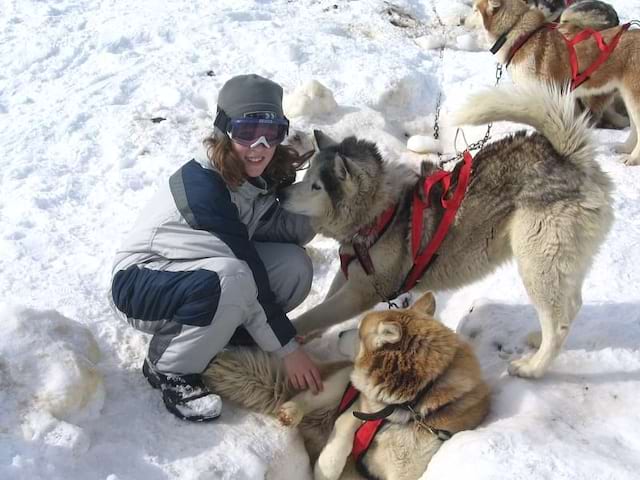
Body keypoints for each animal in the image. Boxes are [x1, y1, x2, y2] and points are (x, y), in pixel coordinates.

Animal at [205, 292, 490, 480]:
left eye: (359, 331)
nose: (341, 333)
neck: (408, 406)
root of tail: (316, 424)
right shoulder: (358, 405)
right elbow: (345, 429)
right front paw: (326, 468)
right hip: (339, 380)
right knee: (308, 397)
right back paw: (291, 411)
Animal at [282, 83, 612, 378]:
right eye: (307, 176)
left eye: (316, 186)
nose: (282, 192)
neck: (381, 213)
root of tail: (570, 156)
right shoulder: (349, 274)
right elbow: (324, 306)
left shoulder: (362, 293)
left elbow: (314, 315)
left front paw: (288, 336)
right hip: (557, 263)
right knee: (571, 305)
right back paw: (537, 339)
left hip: (536, 262)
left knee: (559, 324)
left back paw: (533, 367)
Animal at [476, 0, 640, 163]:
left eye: (475, 9)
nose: (465, 18)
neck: (520, 38)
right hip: (627, 96)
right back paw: (625, 148)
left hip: (633, 97)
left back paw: (632, 158)